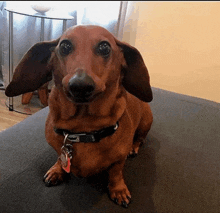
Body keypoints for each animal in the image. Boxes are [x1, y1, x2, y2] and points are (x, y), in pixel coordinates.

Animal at [5, 25, 153, 208]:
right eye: (64, 46)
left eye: (104, 47)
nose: (80, 86)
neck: (83, 127)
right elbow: (60, 156)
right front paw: (57, 170)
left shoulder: (119, 160)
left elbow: (116, 172)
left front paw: (118, 189)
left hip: (146, 122)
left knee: (140, 138)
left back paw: (134, 146)